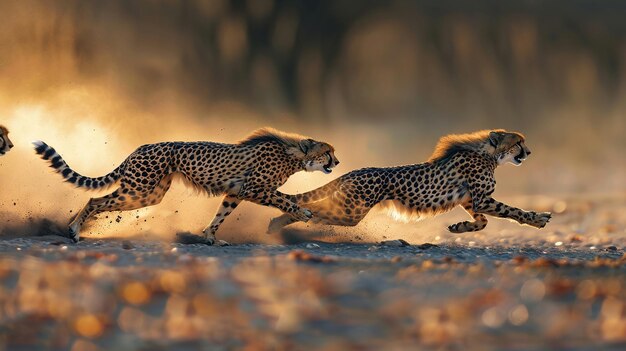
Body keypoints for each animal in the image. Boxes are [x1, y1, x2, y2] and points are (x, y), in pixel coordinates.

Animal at [32, 127, 338, 245]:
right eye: (328, 151)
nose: (337, 160)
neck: (294, 155)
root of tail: (138, 148)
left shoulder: (235, 192)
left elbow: (221, 215)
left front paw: (210, 237)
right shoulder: (253, 189)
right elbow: (284, 198)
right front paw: (303, 212)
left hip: (149, 195)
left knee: (102, 201)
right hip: (139, 188)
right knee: (96, 201)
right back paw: (74, 230)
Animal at [266, 131, 548, 235]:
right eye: (518, 142)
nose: (529, 152)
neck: (489, 154)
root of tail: (353, 171)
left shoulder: (470, 200)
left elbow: (483, 222)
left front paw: (460, 227)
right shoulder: (481, 198)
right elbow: (511, 210)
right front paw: (537, 219)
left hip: (349, 209)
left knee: (312, 208)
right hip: (351, 211)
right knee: (314, 210)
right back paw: (278, 222)